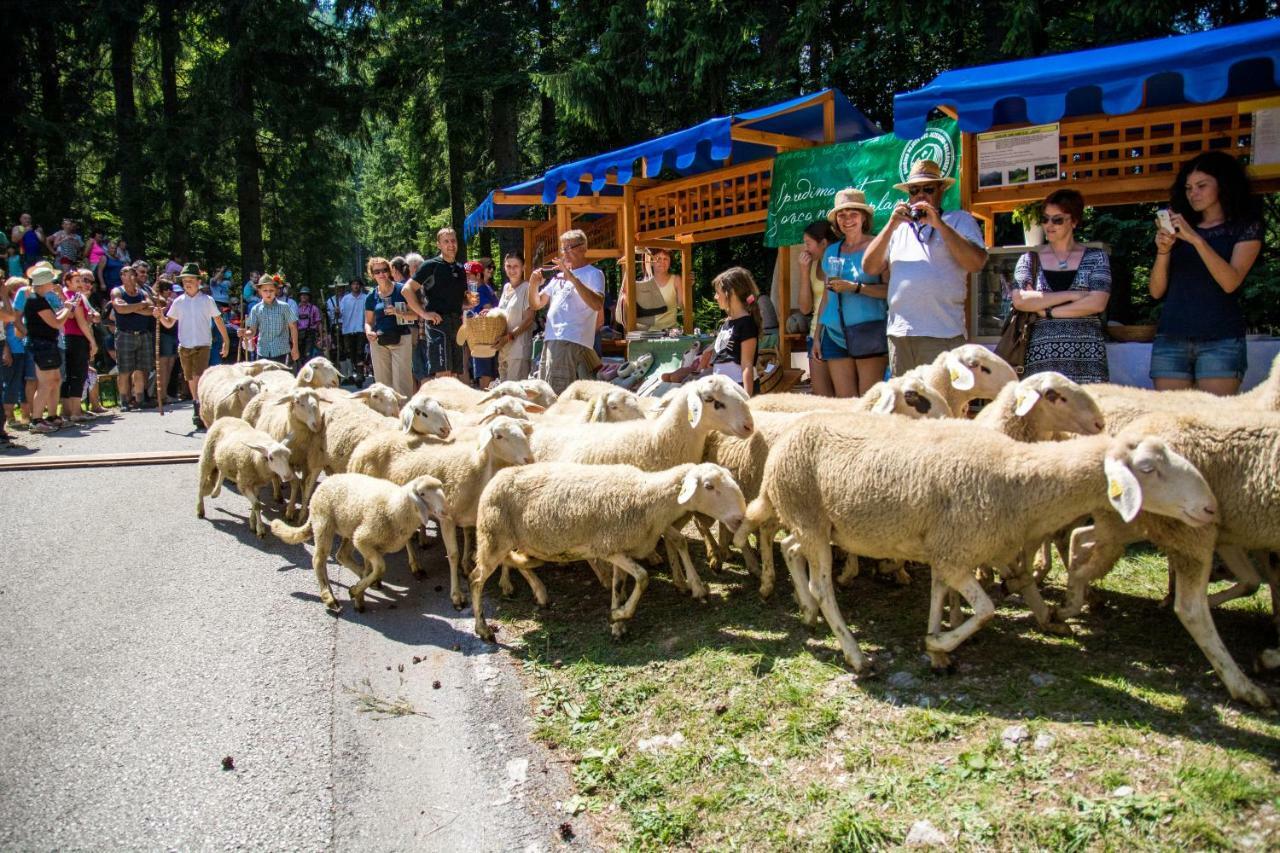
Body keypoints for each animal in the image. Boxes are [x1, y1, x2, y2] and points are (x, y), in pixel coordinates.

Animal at [268, 471, 450, 612]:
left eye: (441, 488)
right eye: (423, 493)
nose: (445, 511)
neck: (395, 507)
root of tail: (324, 483)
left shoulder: (371, 544)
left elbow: (371, 569)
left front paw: (359, 593)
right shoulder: (363, 539)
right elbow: (380, 567)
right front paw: (356, 591)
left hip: (350, 530)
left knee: (342, 555)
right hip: (324, 523)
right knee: (319, 559)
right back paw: (329, 597)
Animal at [345, 414, 535, 607]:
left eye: (523, 431)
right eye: (498, 436)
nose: (529, 459)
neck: (478, 469)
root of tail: (362, 446)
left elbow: (478, 541)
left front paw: (503, 583)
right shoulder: (446, 517)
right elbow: (453, 554)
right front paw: (456, 595)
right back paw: (406, 568)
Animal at [473, 458, 747, 637]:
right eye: (709, 486)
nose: (739, 519)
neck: (647, 497)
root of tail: (494, 478)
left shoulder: (620, 548)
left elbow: (619, 584)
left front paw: (618, 620)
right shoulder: (608, 547)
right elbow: (643, 577)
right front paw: (618, 615)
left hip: (520, 540)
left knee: (518, 563)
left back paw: (540, 594)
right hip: (493, 537)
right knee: (476, 579)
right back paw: (483, 629)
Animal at [742, 414, 1208, 676]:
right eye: (1148, 468)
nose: (1210, 507)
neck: (1017, 478)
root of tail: (784, 441)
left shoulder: (947, 549)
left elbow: (939, 596)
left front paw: (936, 649)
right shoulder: (956, 553)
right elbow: (985, 610)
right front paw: (938, 645)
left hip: (818, 523)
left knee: (790, 548)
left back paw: (807, 612)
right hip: (811, 518)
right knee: (823, 585)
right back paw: (856, 655)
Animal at [1054, 409, 1280, 706]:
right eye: (1149, 469)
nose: (1210, 506)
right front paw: (1269, 656)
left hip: (1141, 522)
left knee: (1079, 539)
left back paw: (1073, 601)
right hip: (1187, 531)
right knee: (1191, 610)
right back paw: (1243, 686)